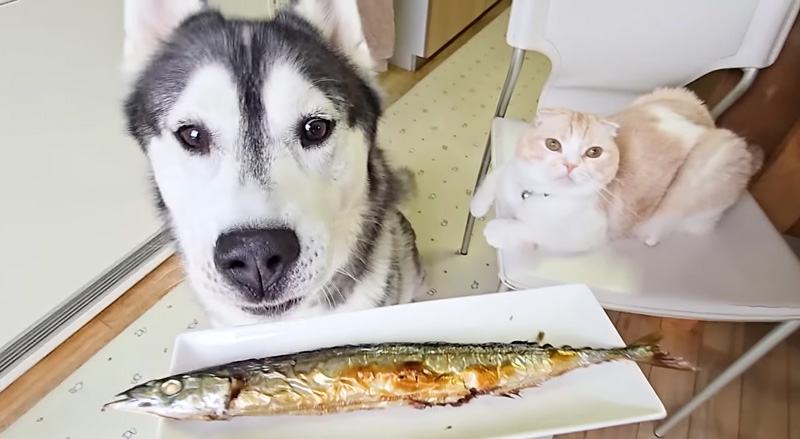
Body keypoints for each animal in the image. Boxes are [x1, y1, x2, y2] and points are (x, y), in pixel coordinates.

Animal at [468, 87, 764, 254]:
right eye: (553, 144)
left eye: (593, 152)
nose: (570, 164)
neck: (536, 195)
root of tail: (711, 124)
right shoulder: (513, 170)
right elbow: (497, 174)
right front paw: (478, 205)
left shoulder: (586, 233)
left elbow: (533, 229)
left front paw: (497, 230)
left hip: (712, 163)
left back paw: (651, 235)